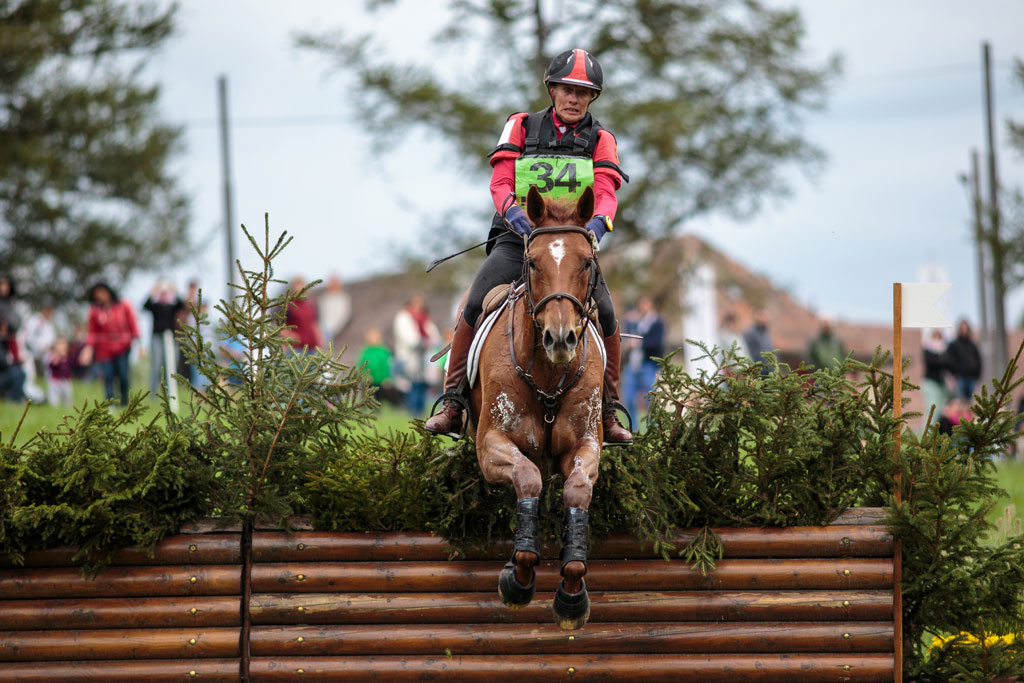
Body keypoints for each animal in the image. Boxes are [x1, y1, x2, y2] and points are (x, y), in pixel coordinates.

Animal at [471, 183, 606, 630]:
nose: (560, 338)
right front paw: (519, 576)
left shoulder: (585, 445)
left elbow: (577, 490)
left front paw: (572, 592)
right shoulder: (490, 445)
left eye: (587, 262)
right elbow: (527, 477)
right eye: (532, 262)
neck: (548, 375)